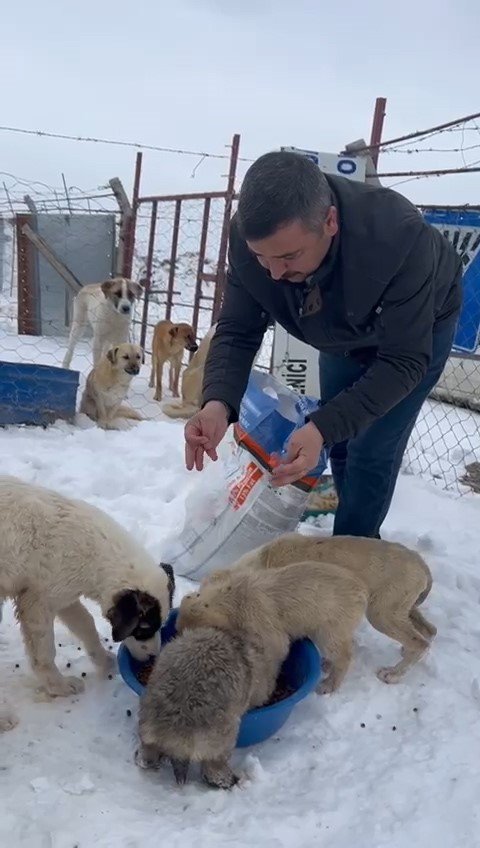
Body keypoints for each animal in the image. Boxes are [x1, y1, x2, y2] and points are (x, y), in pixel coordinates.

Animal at [0, 476, 174, 728]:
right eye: (142, 630)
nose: (153, 658)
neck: (93, 552)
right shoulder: (37, 603)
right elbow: (45, 653)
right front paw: (59, 687)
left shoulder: (62, 598)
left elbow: (86, 625)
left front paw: (104, 661)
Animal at [179, 532, 436, 692]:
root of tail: (422, 564)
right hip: (402, 608)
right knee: (429, 631)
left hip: (381, 613)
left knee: (420, 641)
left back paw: (393, 673)